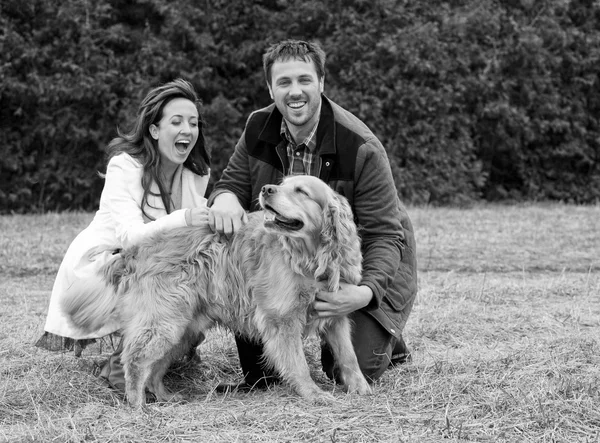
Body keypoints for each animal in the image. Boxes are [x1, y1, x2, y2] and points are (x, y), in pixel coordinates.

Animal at [62, 175, 370, 408]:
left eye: (301, 191)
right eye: (283, 184)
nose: (266, 189)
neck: (311, 257)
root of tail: (134, 250)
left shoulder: (336, 315)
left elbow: (349, 356)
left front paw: (361, 387)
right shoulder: (282, 320)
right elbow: (298, 364)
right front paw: (314, 394)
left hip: (183, 330)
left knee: (155, 368)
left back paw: (165, 397)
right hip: (164, 323)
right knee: (136, 361)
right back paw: (137, 405)